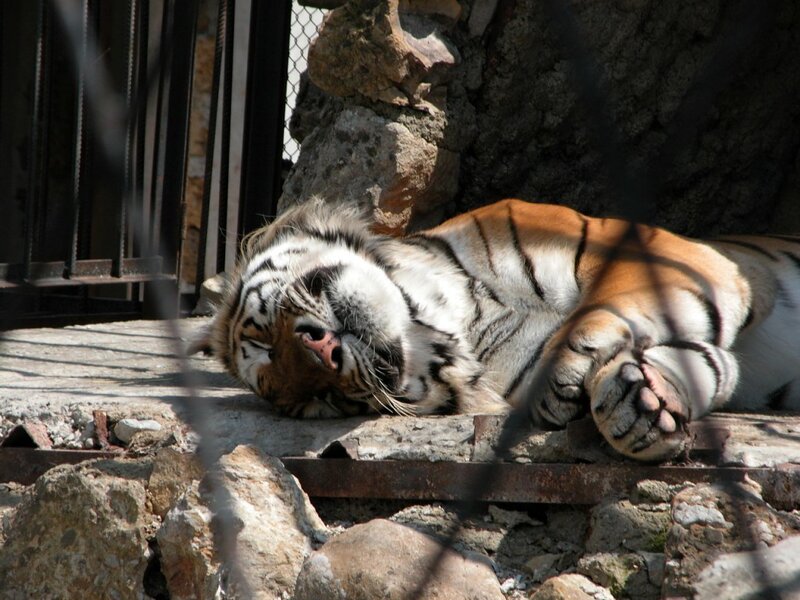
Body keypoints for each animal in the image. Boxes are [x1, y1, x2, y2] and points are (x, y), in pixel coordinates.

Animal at [196, 197, 800, 461]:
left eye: (268, 331)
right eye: (324, 401)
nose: (321, 356)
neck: (455, 318)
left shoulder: (651, 251)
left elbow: (609, 304)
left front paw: (579, 365)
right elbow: (704, 362)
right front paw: (640, 409)